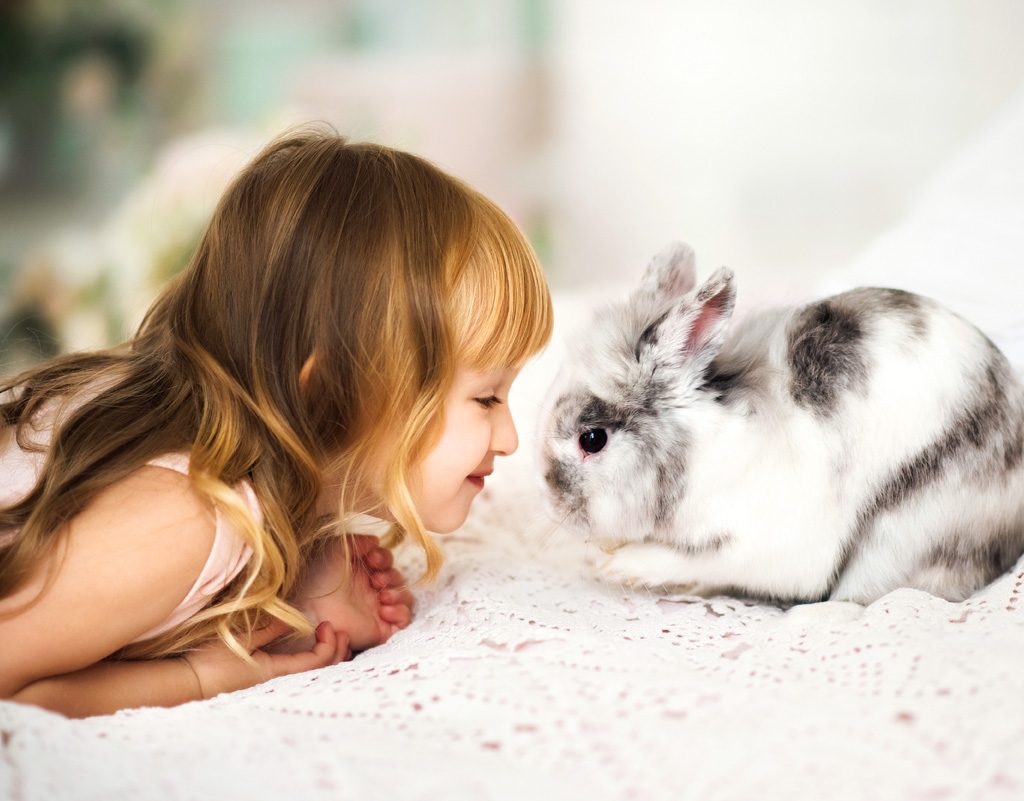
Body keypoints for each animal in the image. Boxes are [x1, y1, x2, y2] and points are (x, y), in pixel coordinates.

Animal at [539, 242, 1024, 604]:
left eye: (592, 439)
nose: (550, 501)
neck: (701, 451)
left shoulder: (766, 544)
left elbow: (699, 560)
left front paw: (621, 566)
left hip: (902, 538)